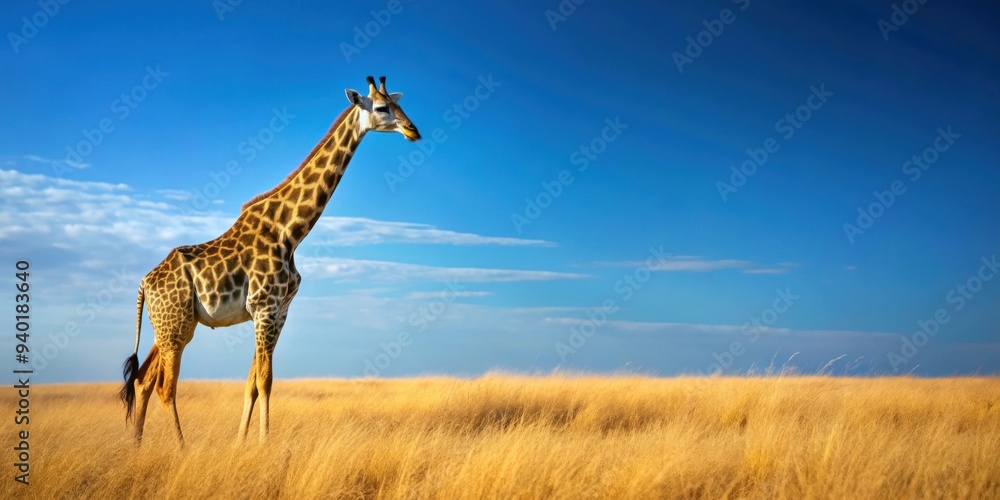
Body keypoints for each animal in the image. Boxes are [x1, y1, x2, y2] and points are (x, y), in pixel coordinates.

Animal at [118, 76, 420, 445]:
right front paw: (264, 444)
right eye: (381, 107)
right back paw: (181, 448)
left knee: (143, 379)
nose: (413, 130)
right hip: (175, 328)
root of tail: (144, 284)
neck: (290, 232)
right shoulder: (264, 307)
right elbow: (265, 381)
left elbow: (252, 383)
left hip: (170, 325)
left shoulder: (279, 311)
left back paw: (136, 447)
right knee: (164, 386)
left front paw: (241, 444)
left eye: (399, 103)